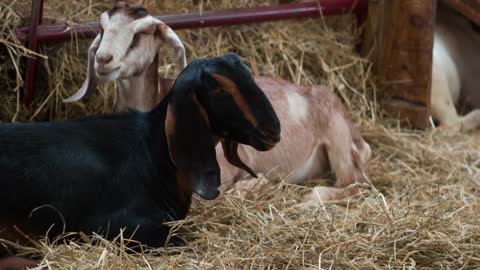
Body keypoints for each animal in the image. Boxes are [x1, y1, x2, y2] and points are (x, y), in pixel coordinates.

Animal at [65, 1, 372, 201]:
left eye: (142, 33)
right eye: (102, 29)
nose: (103, 59)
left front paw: (259, 185)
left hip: (340, 143)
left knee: (357, 186)